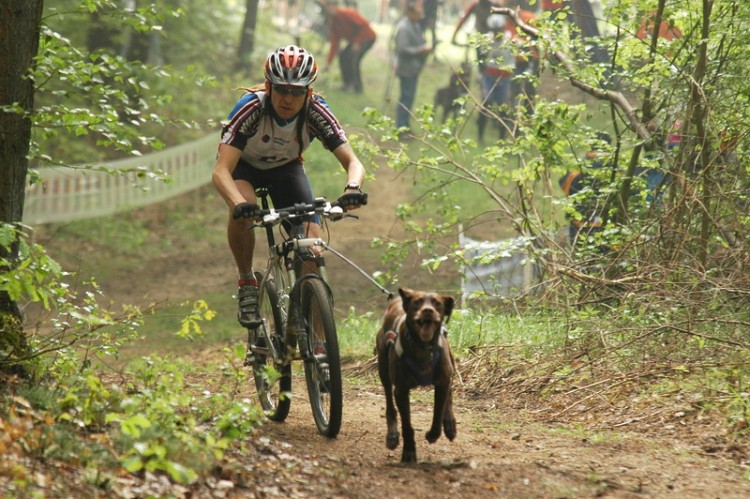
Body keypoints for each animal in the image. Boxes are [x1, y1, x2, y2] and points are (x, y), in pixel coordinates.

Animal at [376, 290, 458, 464]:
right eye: (417, 302)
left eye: (437, 303)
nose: (428, 311)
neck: (422, 348)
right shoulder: (401, 390)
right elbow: (407, 426)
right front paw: (408, 452)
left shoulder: (442, 382)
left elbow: (437, 415)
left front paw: (434, 434)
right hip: (383, 369)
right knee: (389, 402)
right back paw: (392, 435)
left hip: (451, 364)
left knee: (449, 395)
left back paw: (450, 424)